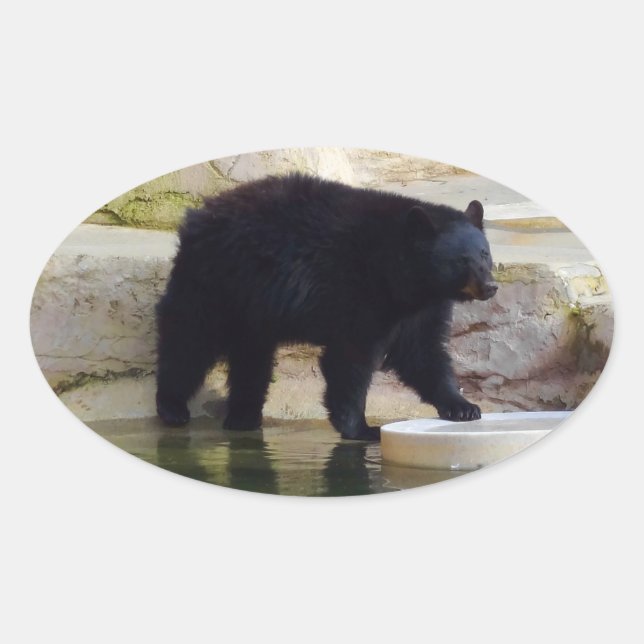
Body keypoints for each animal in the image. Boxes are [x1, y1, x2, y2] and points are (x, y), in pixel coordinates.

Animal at [155, 173, 497, 441]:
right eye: (461, 260)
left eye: (484, 254)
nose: (491, 286)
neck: (400, 273)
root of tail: (200, 214)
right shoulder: (358, 290)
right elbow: (350, 357)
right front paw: (362, 428)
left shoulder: (422, 305)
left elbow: (422, 351)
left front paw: (463, 407)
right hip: (216, 279)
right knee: (190, 338)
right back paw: (173, 407)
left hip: (251, 304)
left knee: (251, 355)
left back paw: (244, 416)